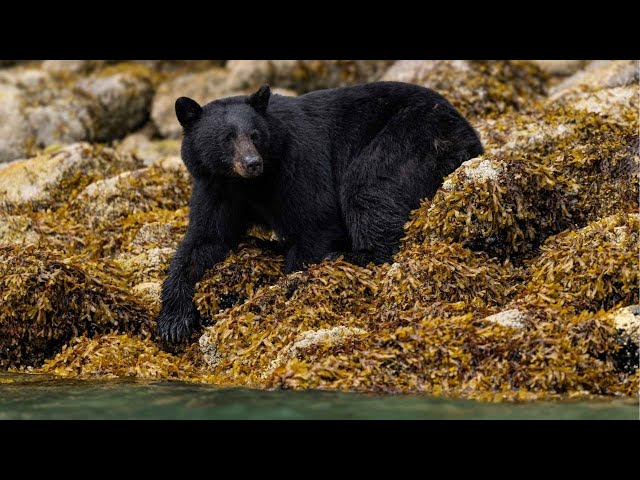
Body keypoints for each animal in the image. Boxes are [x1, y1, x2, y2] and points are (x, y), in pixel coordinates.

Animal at [158, 80, 482, 344]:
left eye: (254, 134)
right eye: (227, 137)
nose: (252, 162)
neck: (249, 184)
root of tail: (468, 135)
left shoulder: (297, 163)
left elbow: (317, 220)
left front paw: (288, 287)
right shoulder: (217, 188)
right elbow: (203, 240)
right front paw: (173, 321)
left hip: (408, 137)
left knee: (369, 188)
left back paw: (351, 256)